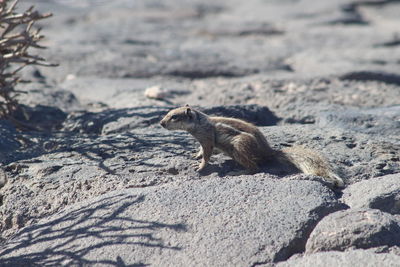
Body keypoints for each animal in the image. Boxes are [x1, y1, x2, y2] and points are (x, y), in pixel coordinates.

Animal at [159, 105, 344, 188]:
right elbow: (201, 150)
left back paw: (236, 172)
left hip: (239, 145)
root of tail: (269, 151)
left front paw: (200, 166)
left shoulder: (207, 138)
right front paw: (195, 155)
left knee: (254, 168)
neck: (199, 123)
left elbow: (207, 154)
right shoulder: (203, 141)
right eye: (167, 113)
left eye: (174, 117)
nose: (161, 123)